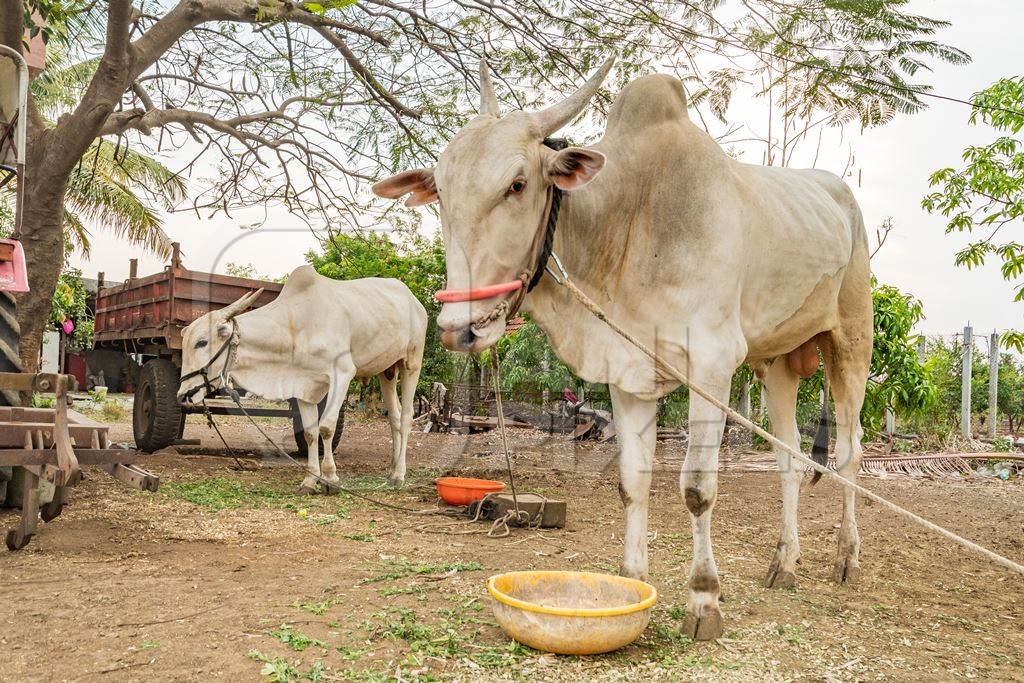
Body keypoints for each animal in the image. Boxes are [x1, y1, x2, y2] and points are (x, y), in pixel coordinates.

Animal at [178, 266, 425, 491]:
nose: (183, 394)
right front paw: (310, 480)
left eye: (201, 342)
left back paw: (400, 475)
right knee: (394, 417)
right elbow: (310, 432)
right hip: (387, 371)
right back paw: (392, 469)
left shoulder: (343, 374)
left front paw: (330, 478)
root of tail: (414, 301)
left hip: (411, 362)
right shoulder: (304, 386)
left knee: (406, 417)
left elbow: (326, 427)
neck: (298, 324)